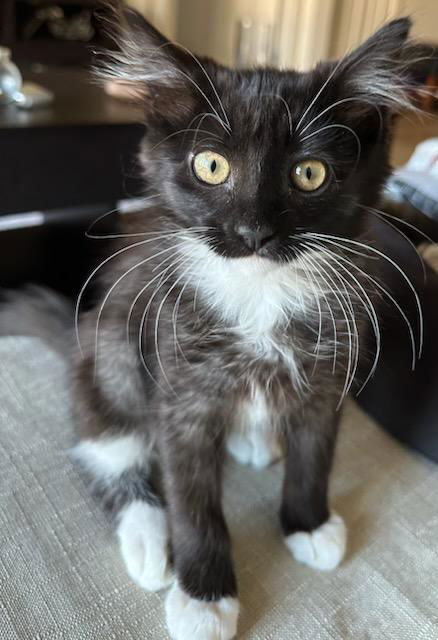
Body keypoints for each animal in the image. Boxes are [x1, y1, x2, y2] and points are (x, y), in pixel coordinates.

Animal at [72, 13, 418, 640]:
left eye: (310, 173)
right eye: (211, 166)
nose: (252, 231)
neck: (260, 293)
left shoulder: (329, 366)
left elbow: (315, 454)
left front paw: (308, 522)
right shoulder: (179, 385)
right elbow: (191, 496)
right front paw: (205, 595)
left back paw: (253, 438)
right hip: (111, 346)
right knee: (109, 447)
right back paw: (147, 539)